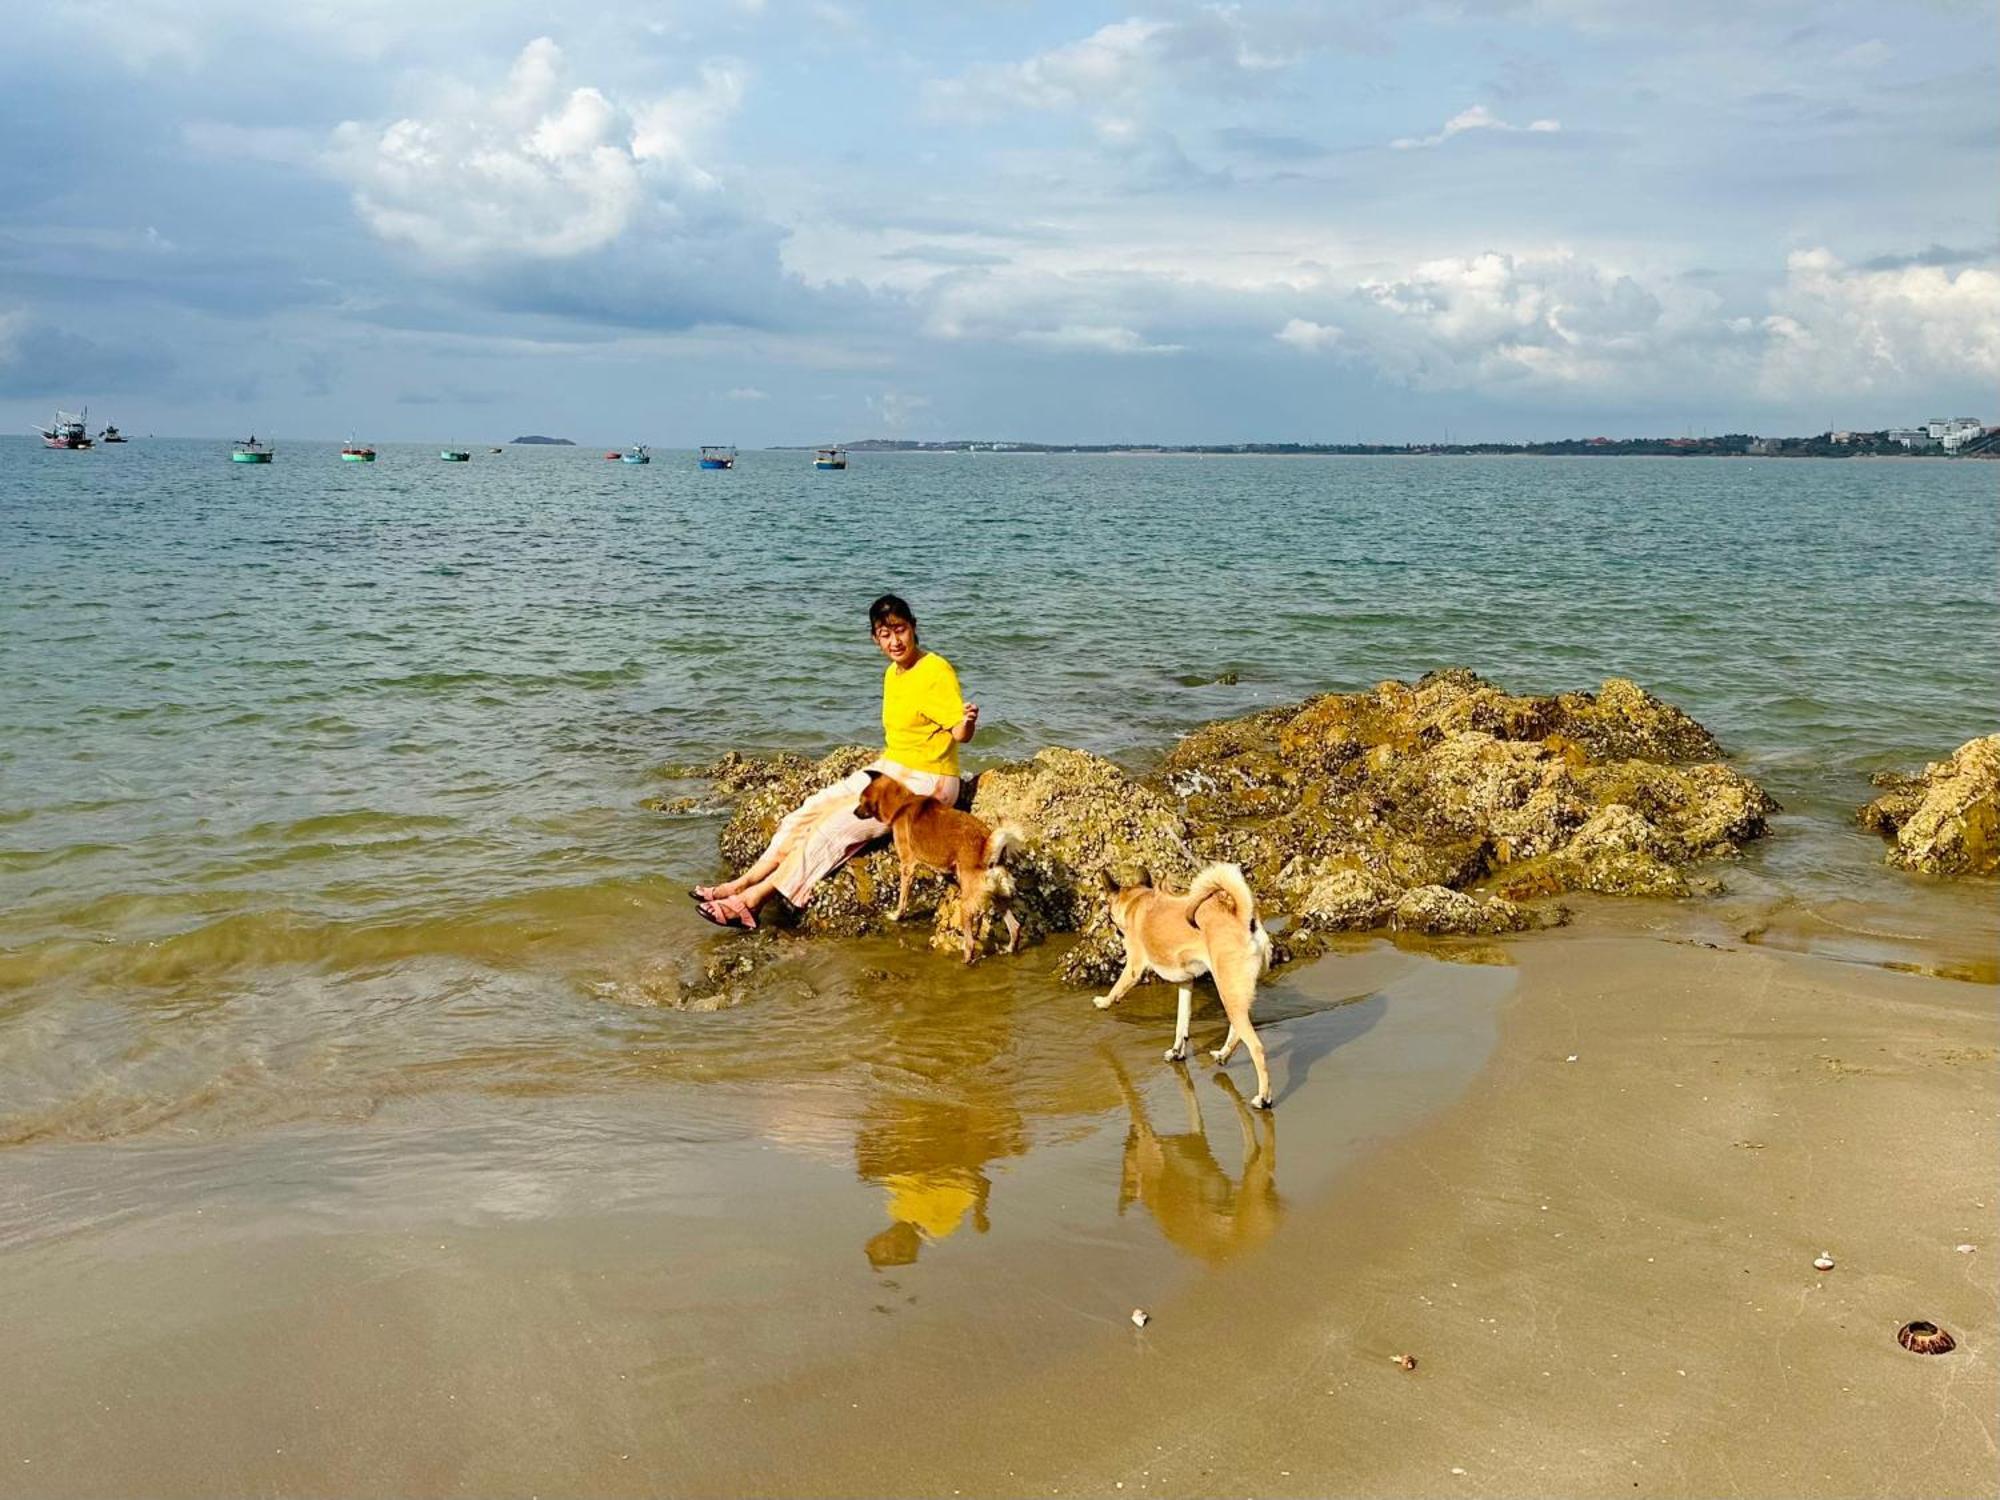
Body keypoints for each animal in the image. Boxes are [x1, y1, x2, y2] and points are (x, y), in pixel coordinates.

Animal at [852, 776, 1024, 964]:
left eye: (861, 800)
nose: (854, 812)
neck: (903, 803)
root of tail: (988, 852)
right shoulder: (946, 869)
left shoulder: (906, 866)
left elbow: (902, 899)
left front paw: (897, 915)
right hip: (998, 897)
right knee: (1015, 927)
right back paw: (1009, 949)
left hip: (967, 906)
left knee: (970, 943)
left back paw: (964, 962)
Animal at [1096, 868, 1280, 1104]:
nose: (1114, 929)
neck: (1137, 900)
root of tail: (1242, 918)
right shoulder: (1185, 983)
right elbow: (1182, 1022)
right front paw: (1177, 1051)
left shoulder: (1134, 967)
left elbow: (1117, 988)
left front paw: (1104, 1002)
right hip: (1235, 993)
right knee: (1238, 1028)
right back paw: (1223, 1054)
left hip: (1227, 989)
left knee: (1256, 1047)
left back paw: (1263, 1097)